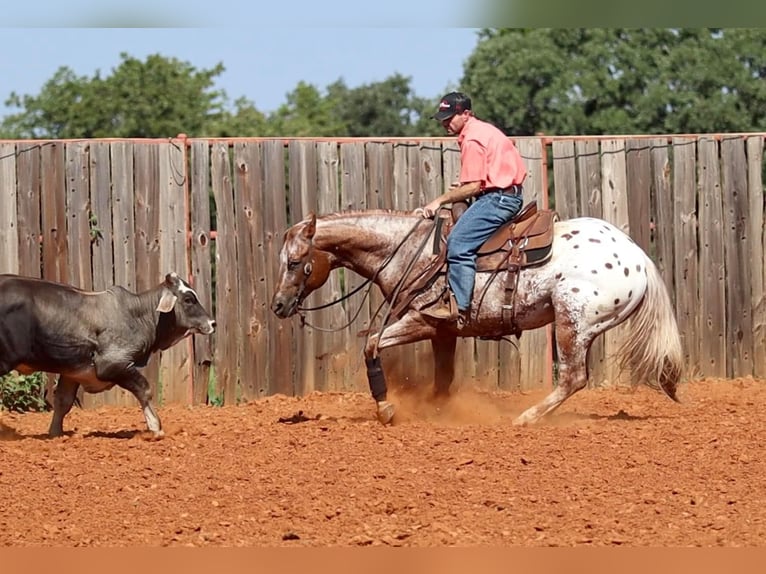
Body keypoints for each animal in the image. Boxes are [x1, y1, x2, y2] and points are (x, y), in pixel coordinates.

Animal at [0, 272, 216, 438]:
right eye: (188, 299)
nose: (212, 323)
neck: (137, 315)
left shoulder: (72, 372)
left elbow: (63, 402)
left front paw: (55, 434)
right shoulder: (114, 365)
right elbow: (144, 390)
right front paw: (156, 428)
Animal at [270, 209, 684, 426]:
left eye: (294, 262)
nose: (278, 306)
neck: (409, 252)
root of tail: (638, 257)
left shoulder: (420, 321)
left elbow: (372, 345)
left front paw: (386, 408)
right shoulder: (443, 332)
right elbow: (443, 378)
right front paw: (439, 412)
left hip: (573, 322)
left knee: (573, 378)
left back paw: (526, 418)